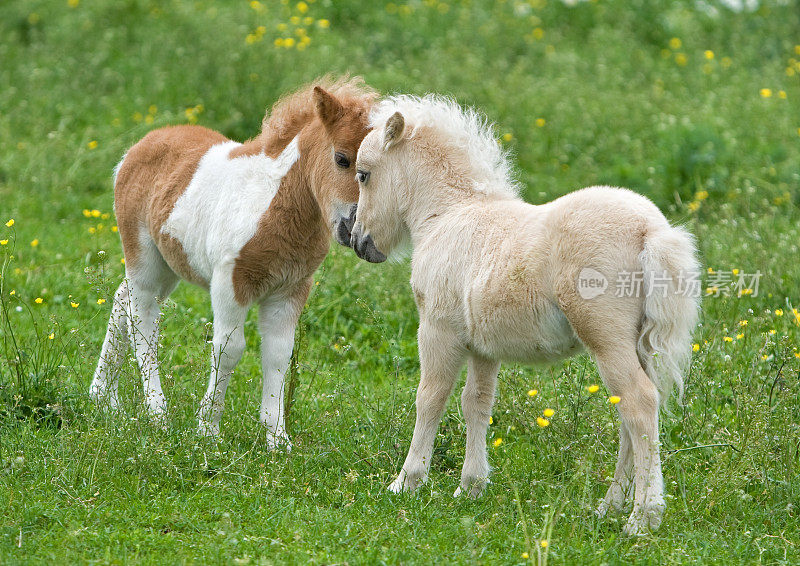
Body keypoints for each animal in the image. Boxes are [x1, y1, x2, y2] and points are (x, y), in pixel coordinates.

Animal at [92, 76, 380, 448]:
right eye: (342, 159)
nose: (358, 233)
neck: (276, 203)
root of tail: (138, 146)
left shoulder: (291, 289)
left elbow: (278, 354)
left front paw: (278, 440)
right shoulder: (230, 281)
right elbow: (229, 349)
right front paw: (208, 431)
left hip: (170, 264)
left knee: (121, 299)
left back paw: (103, 398)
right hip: (143, 256)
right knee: (142, 319)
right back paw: (157, 414)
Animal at [350, 96, 700, 536]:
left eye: (363, 174)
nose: (358, 242)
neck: (448, 215)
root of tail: (651, 230)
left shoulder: (437, 329)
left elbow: (430, 398)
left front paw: (406, 482)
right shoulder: (482, 346)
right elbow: (476, 403)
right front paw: (470, 487)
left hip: (605, 335)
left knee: (639, 402)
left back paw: (642, 517)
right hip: (636, 342)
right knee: (631, 413)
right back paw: (609, 507)